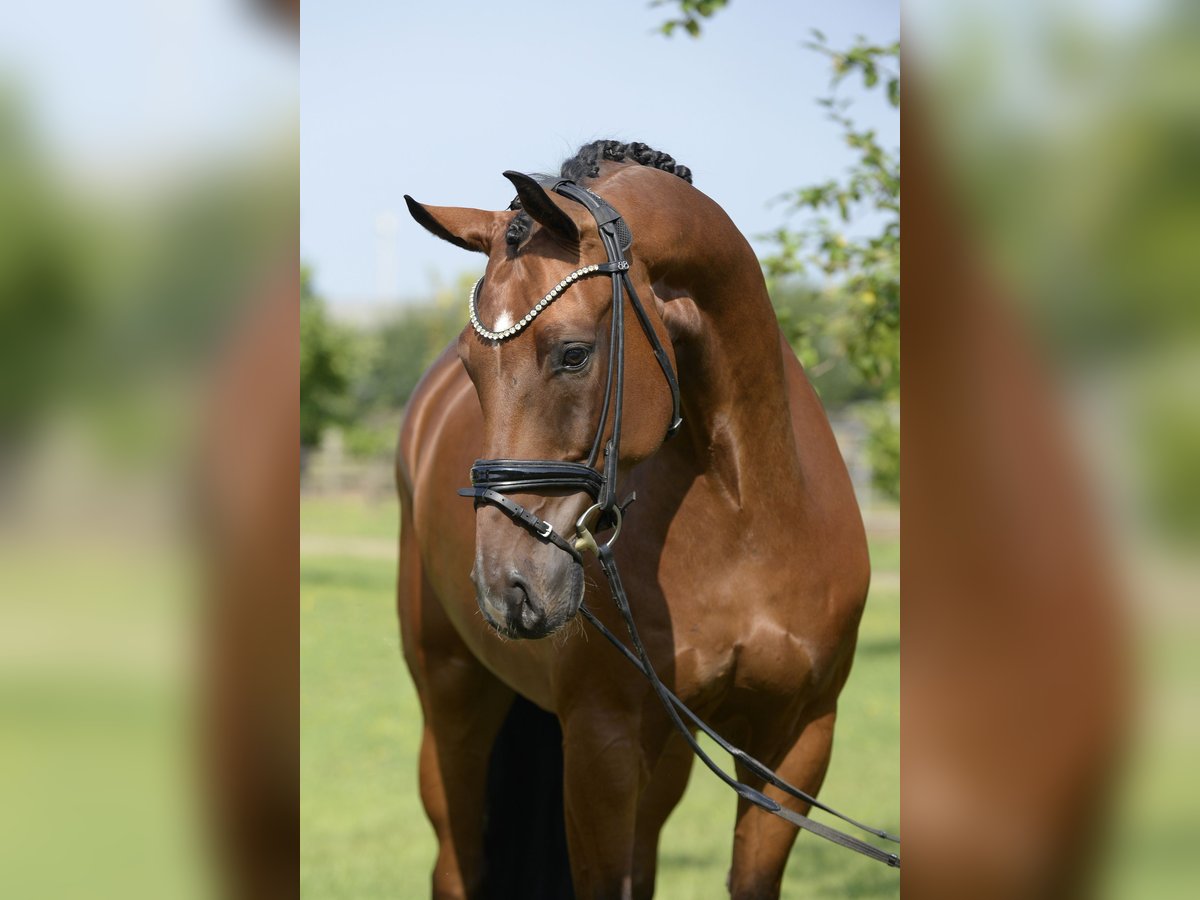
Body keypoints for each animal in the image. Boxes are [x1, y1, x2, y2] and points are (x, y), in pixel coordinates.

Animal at [396, 141, 873, 900]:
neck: (745, 513)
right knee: (456, 861)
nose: (506, 588)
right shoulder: (603, 743)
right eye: (472, 366)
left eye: (573, 354)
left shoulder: (794, 741)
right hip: (452, 694)